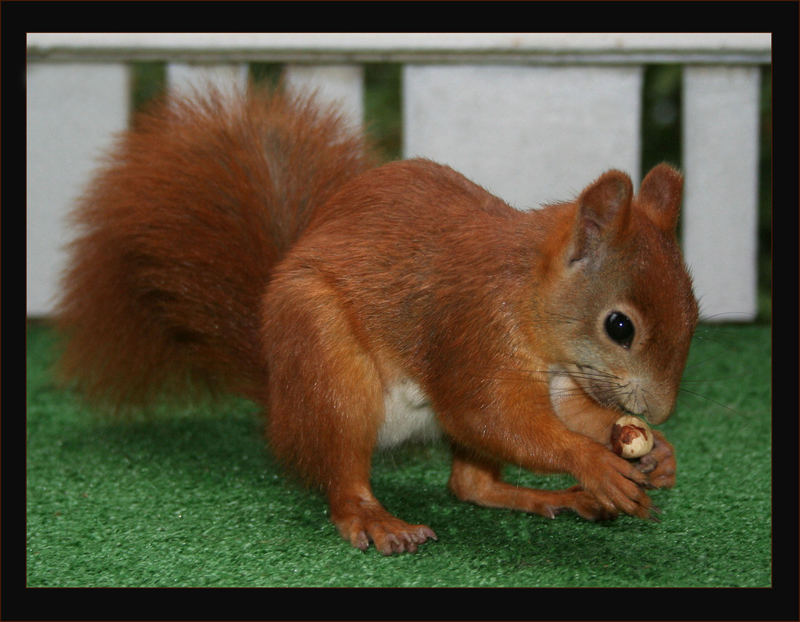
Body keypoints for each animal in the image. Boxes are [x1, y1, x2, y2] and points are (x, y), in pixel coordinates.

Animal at [56, 83, 696, 556]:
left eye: (693, 310)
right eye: (619, 327)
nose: (662, 411)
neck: (527, 296)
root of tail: (281, 398)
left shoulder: (562, 376)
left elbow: (569, 416)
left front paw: (657, 453)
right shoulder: (474, 333)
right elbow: (490, 415)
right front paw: (595, 464)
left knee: (470, 484)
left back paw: (548, 498)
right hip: (329, 368)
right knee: (343, 473)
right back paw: (374, 519)